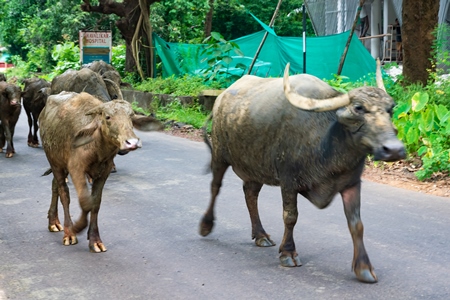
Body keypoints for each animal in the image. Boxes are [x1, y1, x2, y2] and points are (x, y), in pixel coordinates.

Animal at [38, 92, 162, 253]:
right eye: (108, 117)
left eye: (131, 116)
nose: (132, 143)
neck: (98, 149)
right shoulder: (76, 168)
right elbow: (85, 202)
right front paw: (76, 228)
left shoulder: (104, 173)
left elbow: (95, 204)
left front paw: (95, 240)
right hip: (55, 162)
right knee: (64, 193)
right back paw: (67, 232)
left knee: (55, 186)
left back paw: (53, 222)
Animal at [200, 59, 404, 284]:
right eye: (359, 108)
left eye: (391, 109)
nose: (394, 149)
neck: (326, 143)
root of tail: (221, 99)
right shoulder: (288, 180)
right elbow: (290, 216)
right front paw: (288, 253)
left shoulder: (351, 184)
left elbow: (356, 224)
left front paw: (364, 268)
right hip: (220, 155)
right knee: (215, 187)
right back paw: (206, 225)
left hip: (255, 166)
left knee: (250, 194)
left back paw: (261, 235)